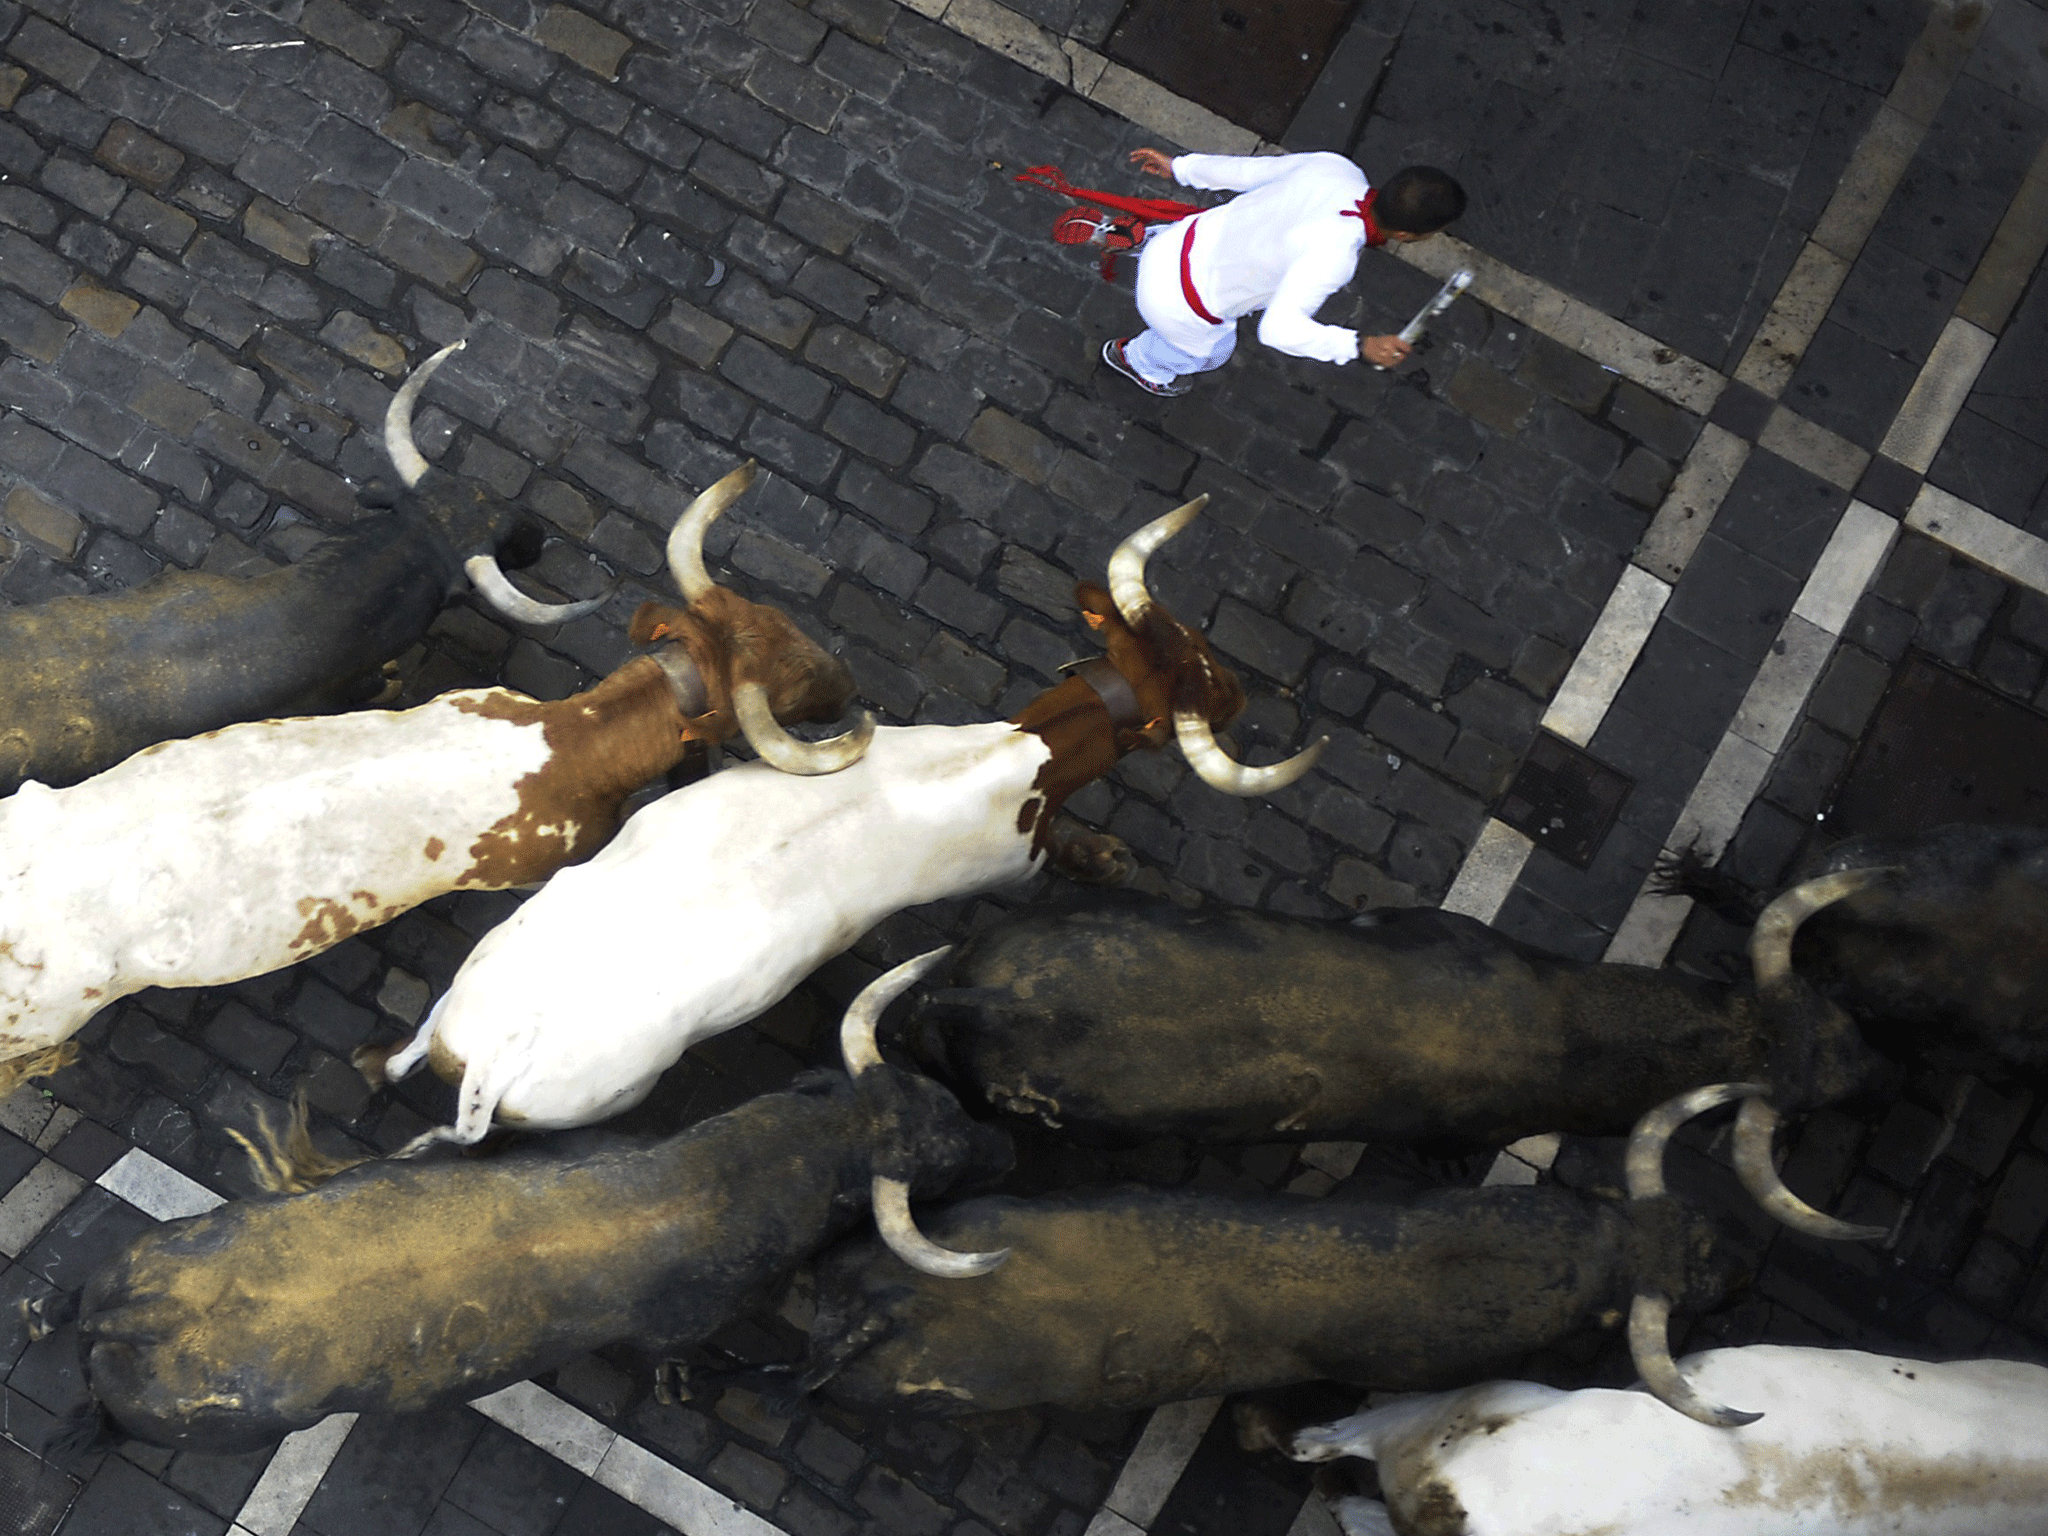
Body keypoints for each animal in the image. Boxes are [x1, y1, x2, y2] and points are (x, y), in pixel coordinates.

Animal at [364, 493, 1327, 1179]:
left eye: (1192, 640)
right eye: (1201, 679)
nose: (1241, 694)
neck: (1012, 758)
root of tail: (490, 1063)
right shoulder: (1012, 861)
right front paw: (1107, 858)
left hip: (460, 997)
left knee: (409, 1056)